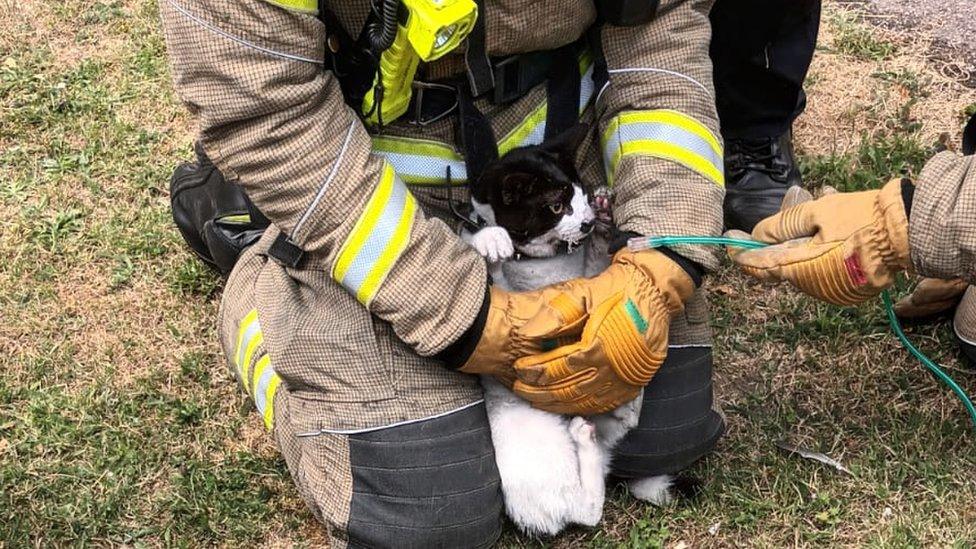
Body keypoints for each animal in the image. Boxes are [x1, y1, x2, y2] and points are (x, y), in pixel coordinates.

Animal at [462, 125, 692, 536]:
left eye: (580, 193)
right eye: (556, 207)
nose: (586, 222)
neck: (544, 264)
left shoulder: (589, 279)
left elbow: (600, 268)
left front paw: (603, 221)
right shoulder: (502, 293)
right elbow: (483, 264)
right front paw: (490, 238)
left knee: (614, 436)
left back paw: (623, 404)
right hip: (538, 448)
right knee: (584, 510)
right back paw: (588, 436)